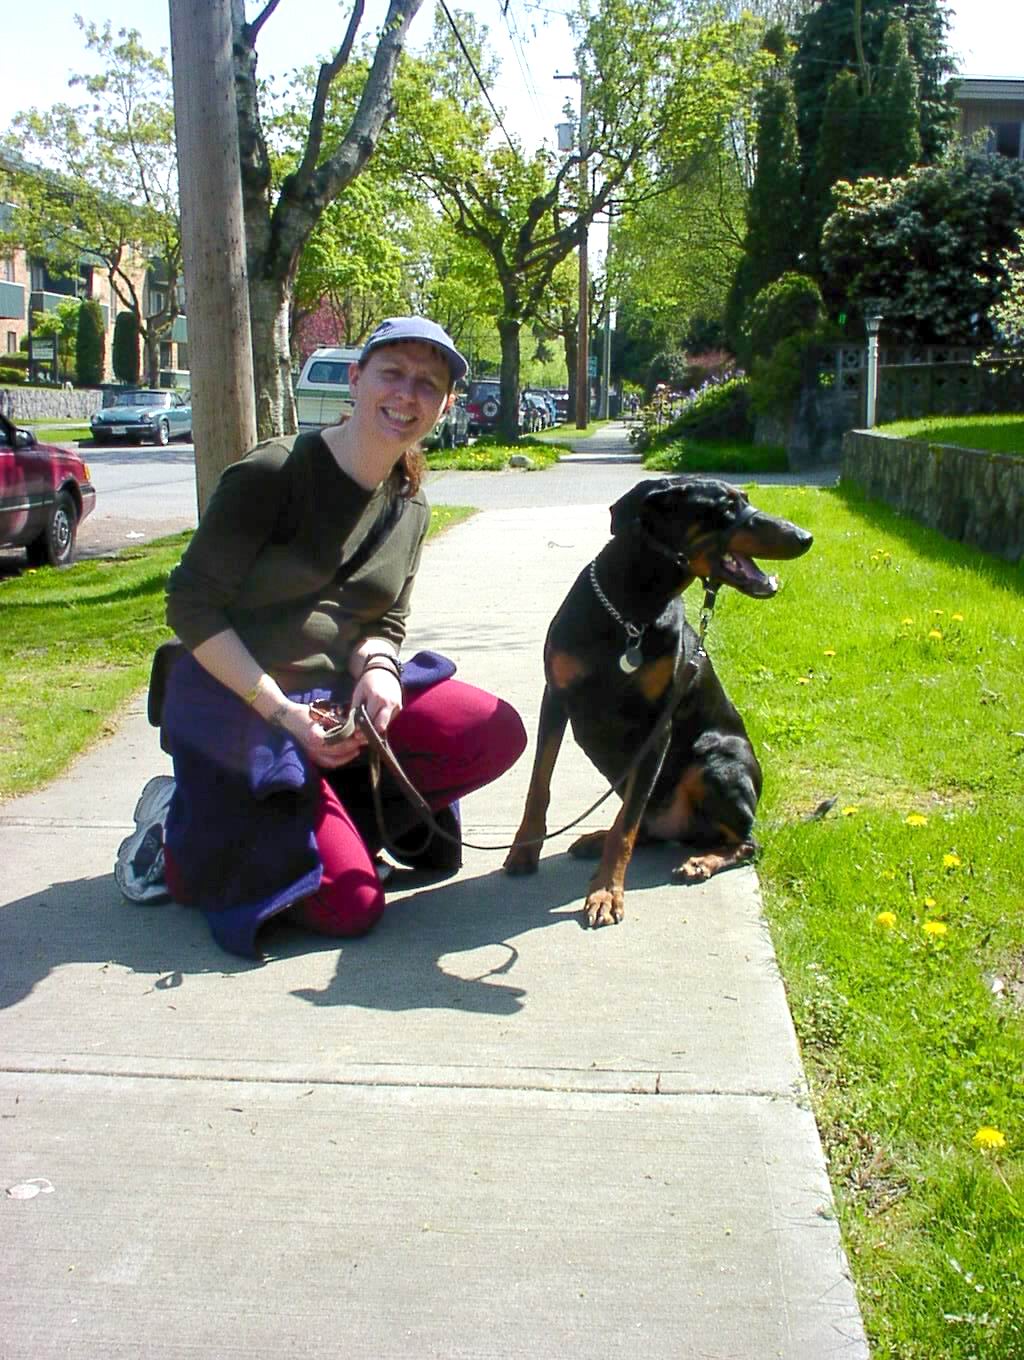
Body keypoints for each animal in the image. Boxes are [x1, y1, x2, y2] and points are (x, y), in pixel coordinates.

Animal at [500, 473, 810, 930]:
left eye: (746, 498)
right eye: (727, 507)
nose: (804, 537)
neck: (633, 609)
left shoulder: (657, 726)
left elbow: (625, 825)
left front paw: (606, 893)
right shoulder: (555, 697)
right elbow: (540, 783)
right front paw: (524, 849)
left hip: (715, 760)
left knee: (748, 842)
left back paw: (702, 861)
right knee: (648, 824)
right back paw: (597, 839)